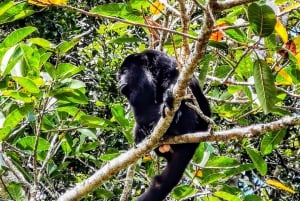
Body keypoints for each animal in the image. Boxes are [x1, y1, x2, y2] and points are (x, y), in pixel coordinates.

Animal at [117, 49, 211, 201]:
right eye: (119, 76)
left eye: (125, 72)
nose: (119, 81)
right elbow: (139, 111)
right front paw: (143, 131)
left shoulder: (162, 60)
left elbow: (178, 78)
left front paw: (169, 94)